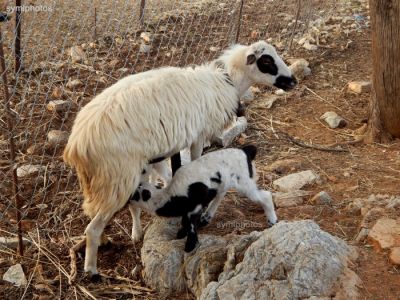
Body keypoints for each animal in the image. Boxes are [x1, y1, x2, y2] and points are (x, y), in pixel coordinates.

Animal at [131, 145, 278, 253]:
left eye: (136, 194)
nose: (129, 197)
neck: (170, 197)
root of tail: (245, 151)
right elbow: (187, 221)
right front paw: (183, 232)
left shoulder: (194, 204)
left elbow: (190, 223)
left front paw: (190, 245)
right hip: (226, 180)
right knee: (221, 192)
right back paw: (207, 217)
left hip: (244, 182)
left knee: (265, 195)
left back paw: (272, 220)